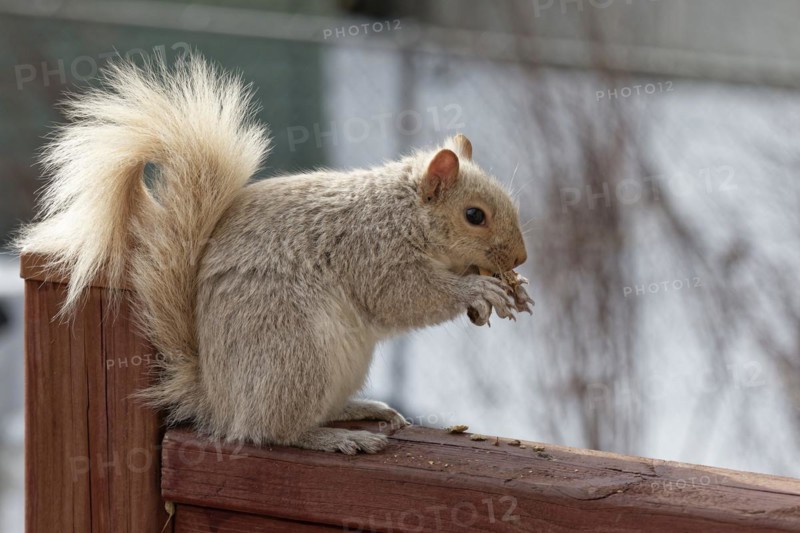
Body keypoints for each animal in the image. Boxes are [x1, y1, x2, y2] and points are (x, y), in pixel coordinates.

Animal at [16, 54, 532, 454]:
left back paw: (360, 409)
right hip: (296, 357)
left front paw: (513, 293)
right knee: (271, 431)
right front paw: (478, 289)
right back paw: (334, 438)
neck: (401, 213)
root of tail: (218, 400)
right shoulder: (371, 250)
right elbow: (403, 297)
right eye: (474, 215)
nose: (521, 259)